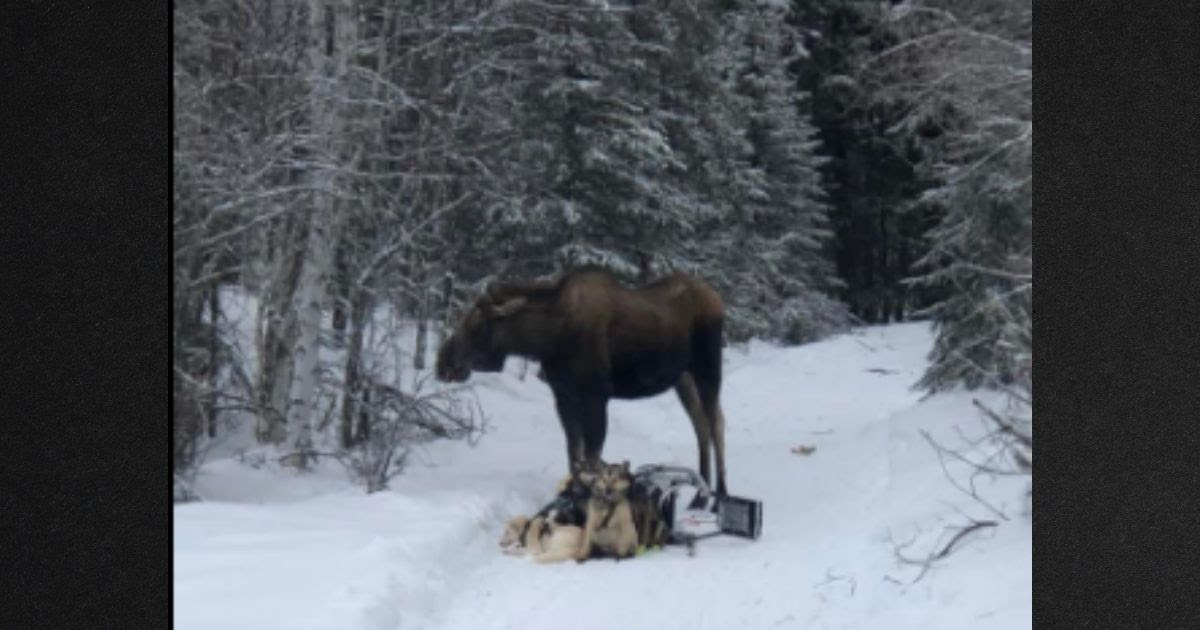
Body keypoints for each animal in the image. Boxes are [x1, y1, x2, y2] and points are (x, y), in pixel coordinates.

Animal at [436, 265, 724, 496]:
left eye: (477, 324)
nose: (443, 363)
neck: (549, 338)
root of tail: (716, 298)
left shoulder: (596, 396)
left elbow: (592, 457)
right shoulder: (563, 396)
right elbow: (574, 454)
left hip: (708, 368)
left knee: (716, 423)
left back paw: (721, 491)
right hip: (683, 379)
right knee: (701, 424)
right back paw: (703, 484)